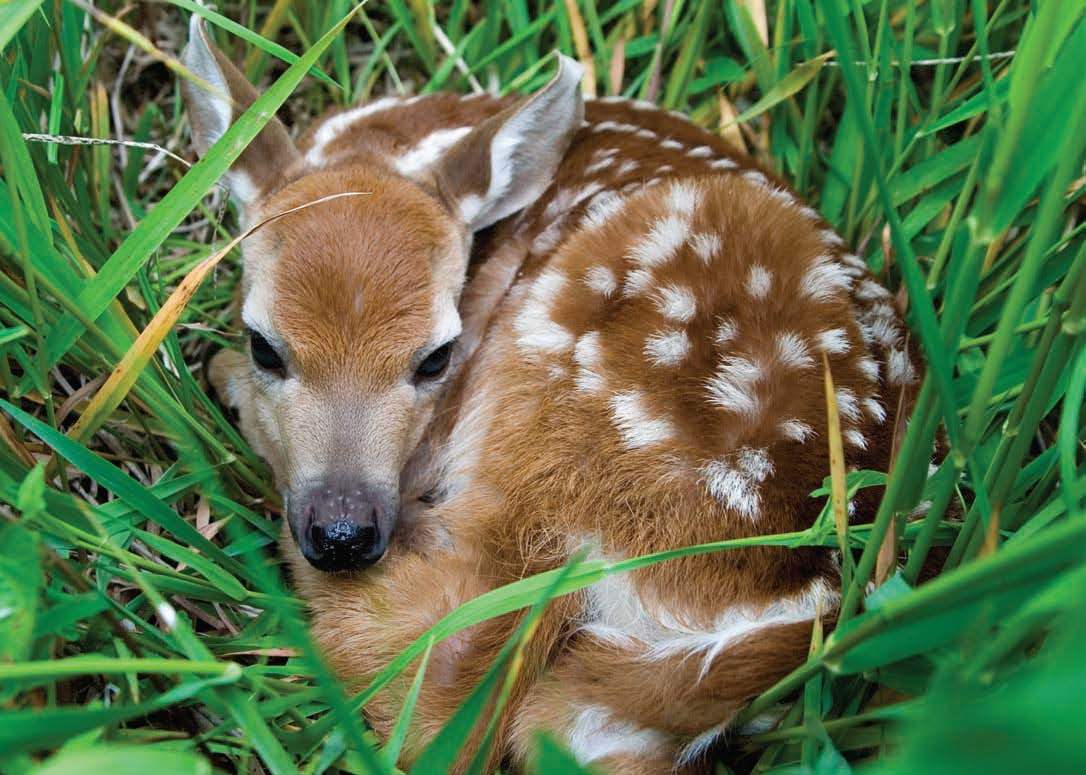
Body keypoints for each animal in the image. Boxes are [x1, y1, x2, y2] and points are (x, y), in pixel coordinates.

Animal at [182, 14, 921, 773]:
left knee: (457, 683)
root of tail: (797, 604)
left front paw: (221, 374)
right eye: (266, 344)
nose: (343, 533)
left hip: (559, 425)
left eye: (438, 357)